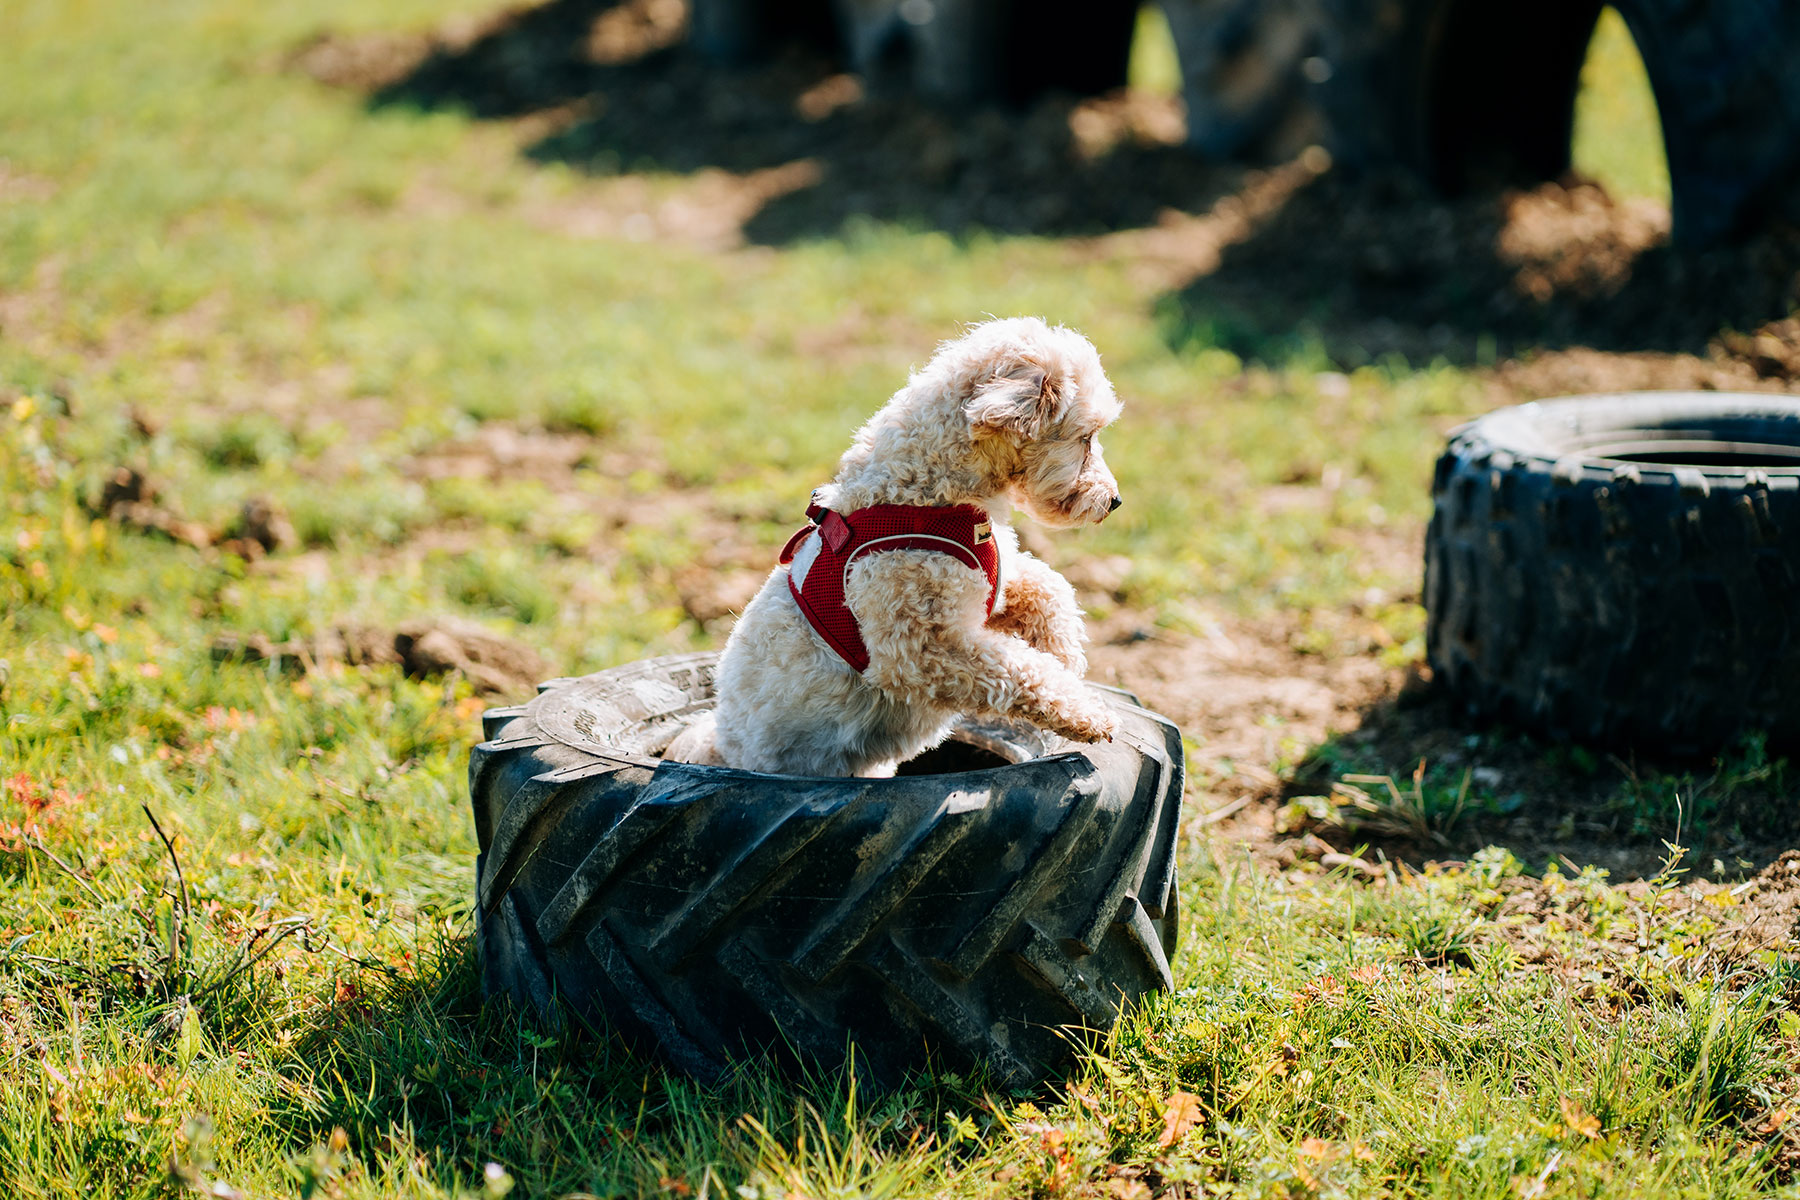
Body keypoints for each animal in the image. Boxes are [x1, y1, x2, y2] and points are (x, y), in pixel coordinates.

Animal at [673, 314, 1123, 773]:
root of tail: (721, 746)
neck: (925, 494)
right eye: (1086, 438)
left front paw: (1065, 656)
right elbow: (1020, 671)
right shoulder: (922, 647)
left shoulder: (991, 587)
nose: (1114, 501)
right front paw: (1087, 712)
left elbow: (1051, 589)